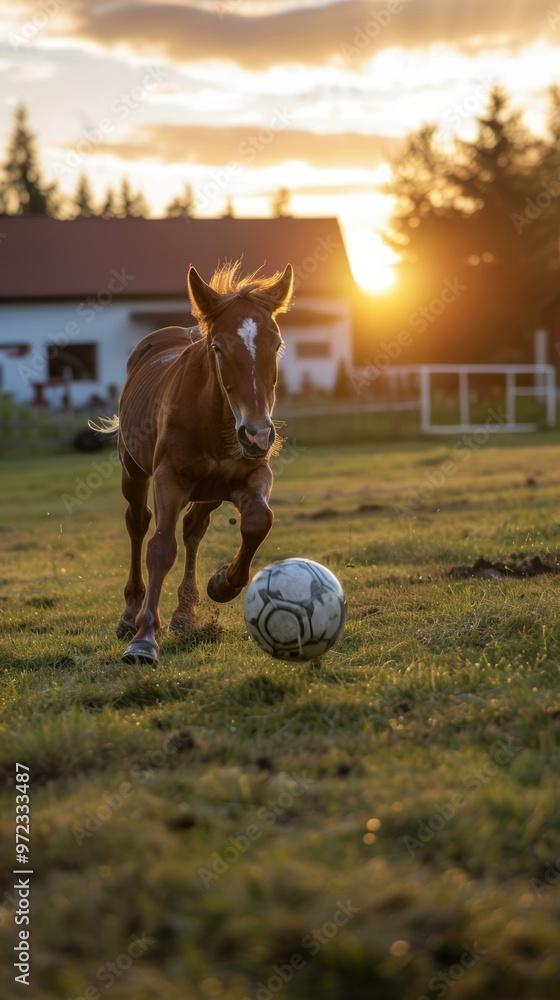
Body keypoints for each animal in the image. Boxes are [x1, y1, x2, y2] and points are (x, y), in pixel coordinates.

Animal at [103, 262, 294, 664]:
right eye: (218, 347)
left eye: (277, 345)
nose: (257, 434)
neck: (218, 420)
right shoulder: (169, 479)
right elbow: (160, 548)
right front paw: (143, 639)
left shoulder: (252, 473)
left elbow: (258, 521)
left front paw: (223, 583)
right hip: (134, 473)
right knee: (138, 526)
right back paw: (131, 614)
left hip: (211, 490)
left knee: (193, 529)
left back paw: (185, 612)